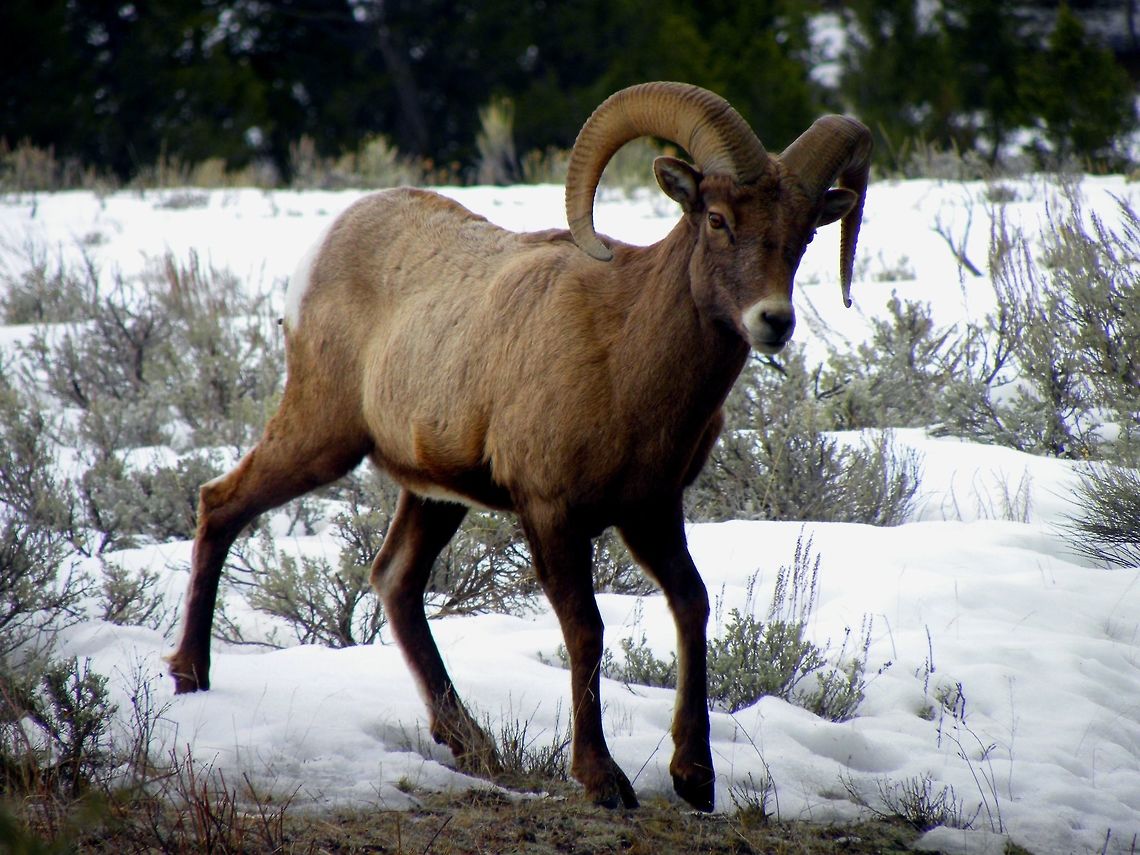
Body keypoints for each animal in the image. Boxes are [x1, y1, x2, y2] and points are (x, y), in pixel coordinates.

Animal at [166, 81, 871, 812]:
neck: (625, 361)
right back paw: (190, 676)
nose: (774, 321)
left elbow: (692, 605)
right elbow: (586, 628)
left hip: (433, 495)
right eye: (717, 218)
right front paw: (603, 779)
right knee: (221, 504)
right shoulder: (552, 511)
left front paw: (695, 777)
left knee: (395, 579)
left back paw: (471, 744)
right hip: (320, 437)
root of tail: (327, 245)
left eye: (804, 233)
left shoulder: (651, 512)